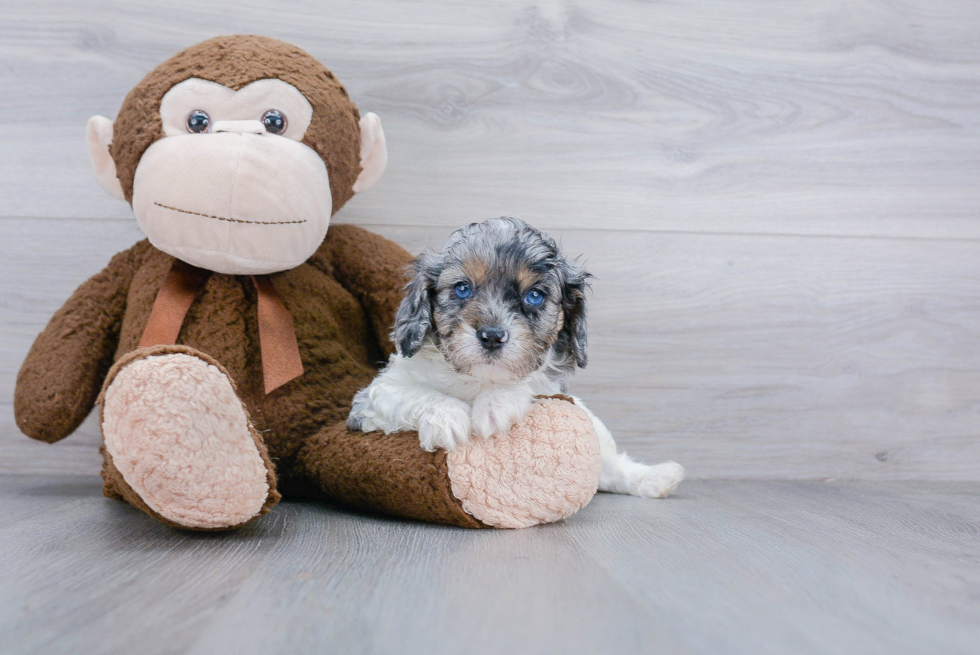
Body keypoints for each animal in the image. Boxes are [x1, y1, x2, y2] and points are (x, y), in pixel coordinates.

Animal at [348, 218, 684, 500]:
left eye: (534, 296)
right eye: (462, 288)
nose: (492, 336)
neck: (476, 380)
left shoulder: (551, 387)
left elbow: (526, 383)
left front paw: (495, 405)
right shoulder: (370, 399)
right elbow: (410, 393)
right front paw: (447, 416)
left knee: (610, 466)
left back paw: (655, 478)